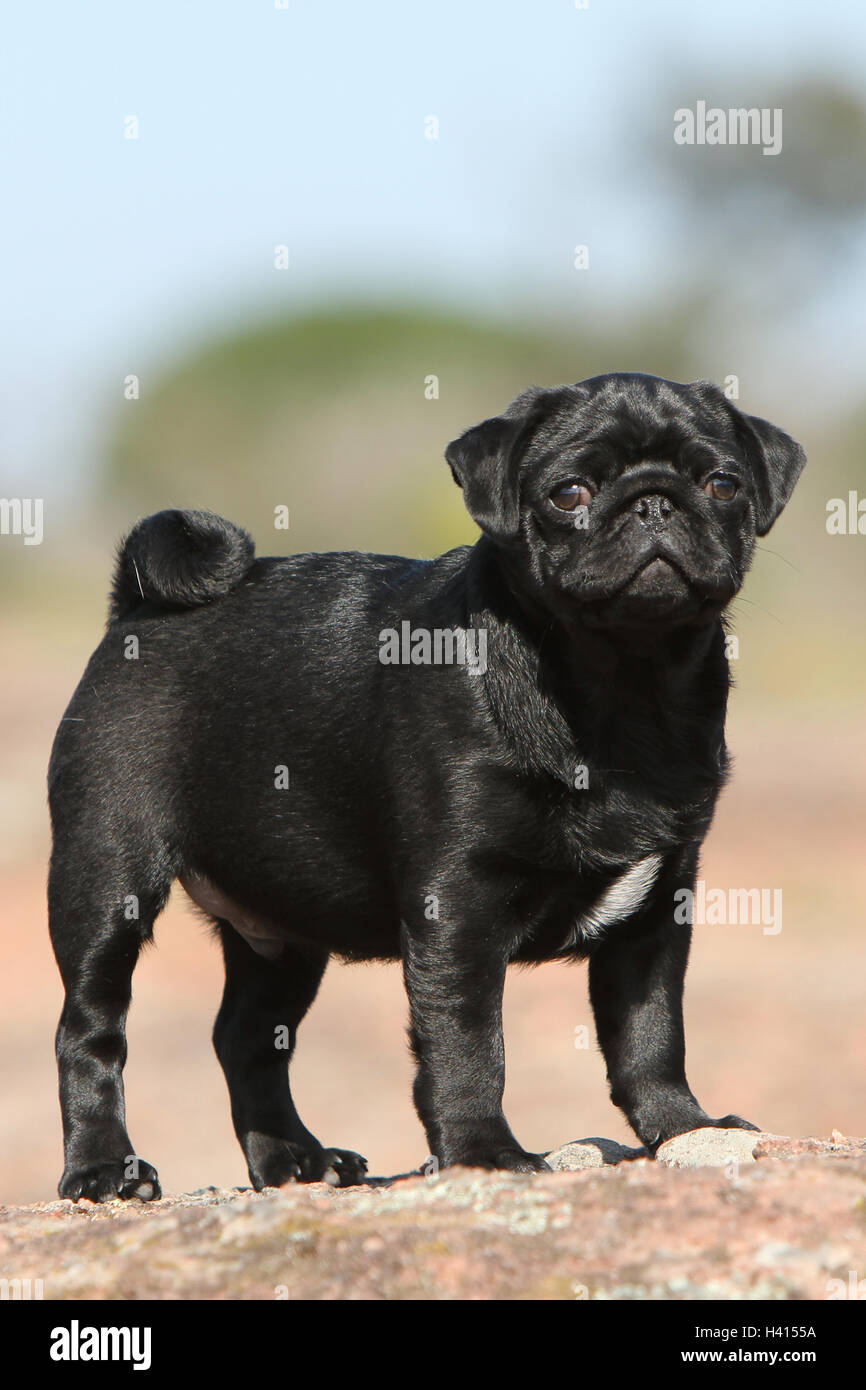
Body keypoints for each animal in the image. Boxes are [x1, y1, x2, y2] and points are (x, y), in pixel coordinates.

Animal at [47, 375, 806, 1200]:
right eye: (569, 493)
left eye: (723, 484)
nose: (655, 502)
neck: (622, 686)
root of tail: (137, 606)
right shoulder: (458, 908)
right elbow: (468, 1042)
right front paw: (485, 1150)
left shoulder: (658, 910)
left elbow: (650, 1032)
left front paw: (682, 1127)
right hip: (106, 878)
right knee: (89, 1029)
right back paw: (103, 1167)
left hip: (282, 927)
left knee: (247, 1038)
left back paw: (294, 1159)